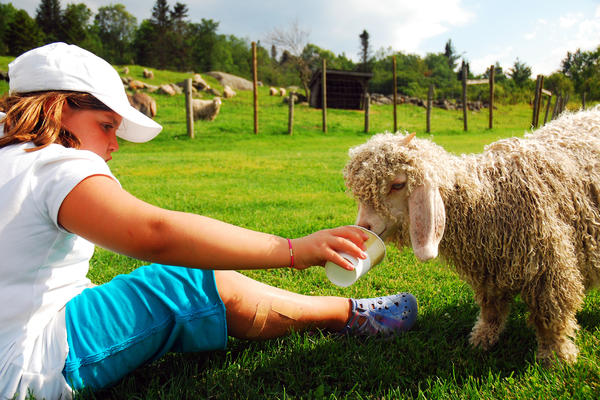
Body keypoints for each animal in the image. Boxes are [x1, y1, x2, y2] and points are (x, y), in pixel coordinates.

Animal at [344, 107, 600, 366]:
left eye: (397, 184)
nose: (363, 226)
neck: (489, 198)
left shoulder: (547, 268)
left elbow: (550, 314)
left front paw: (555, 356)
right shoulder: (489, 271)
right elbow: (492, 308)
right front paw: (483, 338)